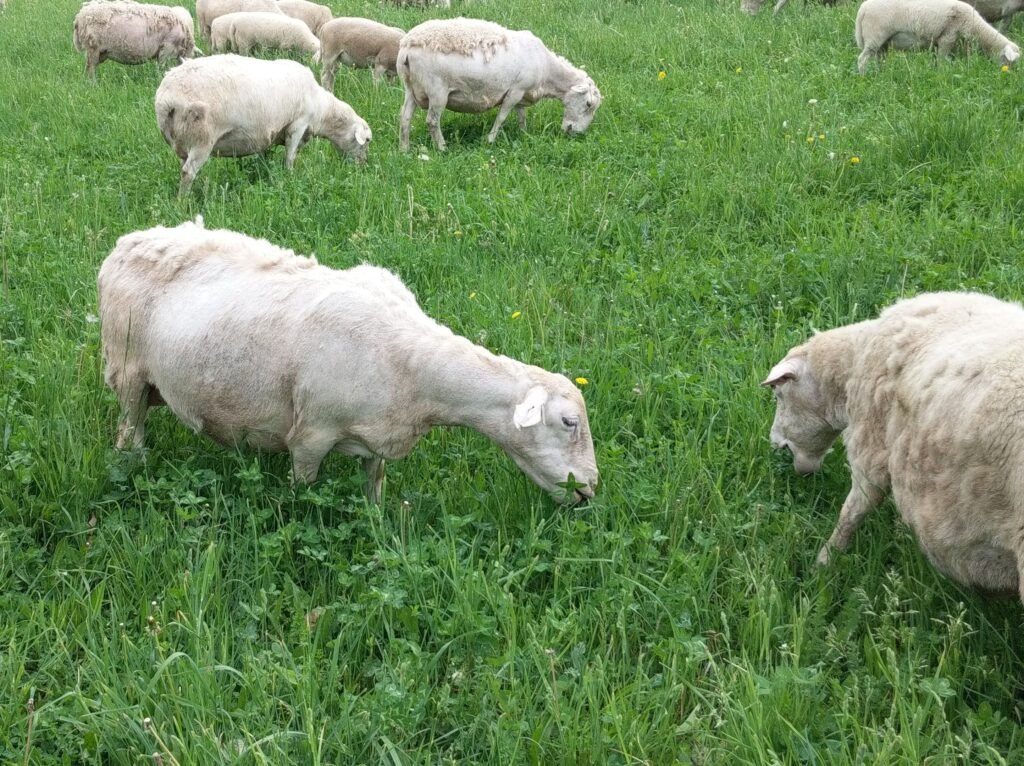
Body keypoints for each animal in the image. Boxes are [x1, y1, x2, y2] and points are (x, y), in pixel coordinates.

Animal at [96, 217, 598, 501]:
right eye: (569, 423)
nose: (589, 489)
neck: (415, 370)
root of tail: (126, 242)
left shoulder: (377, 441)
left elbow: (373, 491)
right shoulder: (309, 436)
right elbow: (302, 497)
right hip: (127, 369)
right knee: (128, 430)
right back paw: (129, 467)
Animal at [153, 52, 370, 194]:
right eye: (367, 140)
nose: (363, 166)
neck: (321, 110)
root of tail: (166, 97)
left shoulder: (270, 134)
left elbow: (266, 156)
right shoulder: (297, 125)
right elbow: (290, 156)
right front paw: (290, 178)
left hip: (182, 139)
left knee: (184, 167)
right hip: (203, 138)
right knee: (188, 172)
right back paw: (183, 203)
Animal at [391, 16, 598, 151]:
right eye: (588, 104)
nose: (575, 133)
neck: (548, 71)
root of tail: (406, 47)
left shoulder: (522, 93)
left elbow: (521, 116)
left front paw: (524, 135)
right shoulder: (515, 90)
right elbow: (502, 117)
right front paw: (490, 140)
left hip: (411, 88)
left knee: (405, 118)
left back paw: (404, 149)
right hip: (437, 90)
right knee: (432, 121)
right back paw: (442, 148)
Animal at [851, 0, 1019, 72]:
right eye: (1007, 60)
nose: (1007, 73)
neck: (972, 24)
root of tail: (862, 9)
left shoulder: (937, 40)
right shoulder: (947, 36)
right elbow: (943, 59)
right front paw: (942, 73)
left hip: (883, 42)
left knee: (878, 58)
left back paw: (881, 73)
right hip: (875, 37)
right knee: (862, 60)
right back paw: (864, 75)